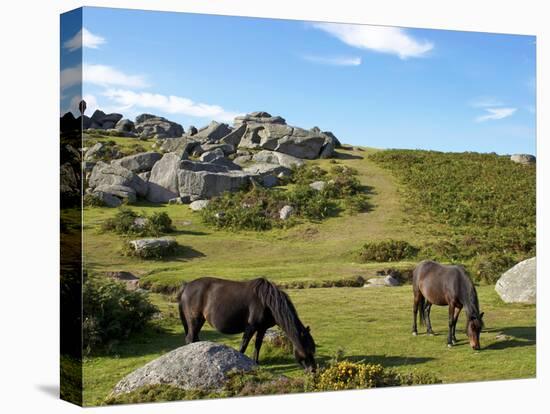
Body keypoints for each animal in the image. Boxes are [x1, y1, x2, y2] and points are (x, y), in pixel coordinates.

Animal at [175, 276, 316, 370]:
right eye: (307, 349)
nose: (314, 370)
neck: (267, 302)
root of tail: (186, 286)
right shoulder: (251, 327)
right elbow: (243, 346)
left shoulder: (262, 328)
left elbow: (258, 345)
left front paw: (256, 363)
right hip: (194, 320)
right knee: (190, 339)